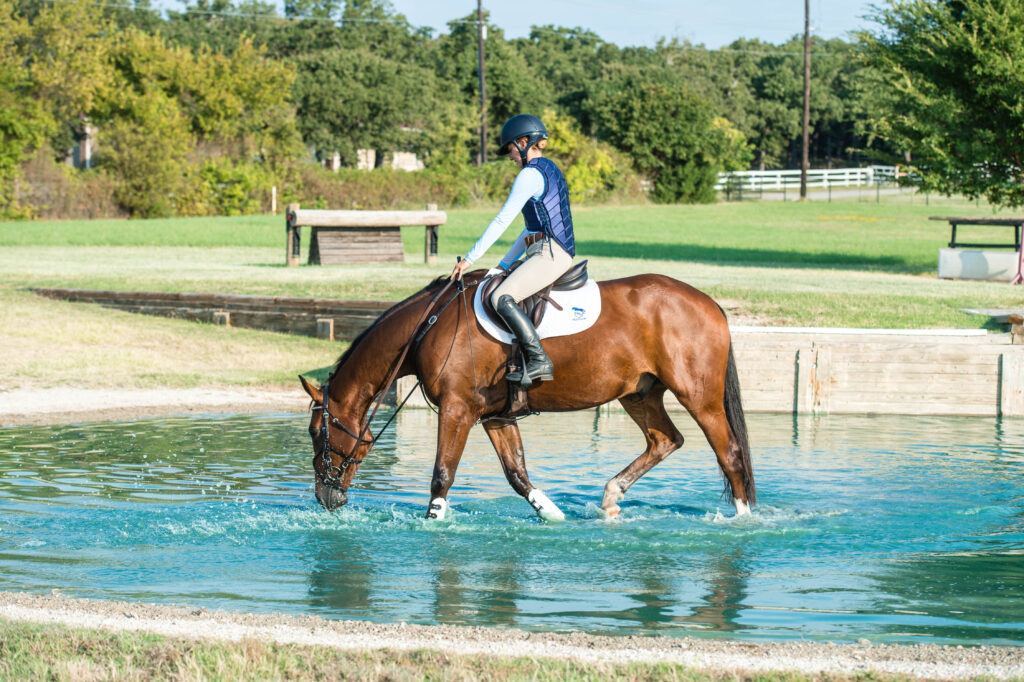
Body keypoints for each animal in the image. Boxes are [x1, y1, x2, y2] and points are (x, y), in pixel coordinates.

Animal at [298, 269, 755, 521]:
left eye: (316, 432)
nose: (324, 497)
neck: (427, 328)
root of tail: (709, 303)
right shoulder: (494, 416)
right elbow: (517, 474)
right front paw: (552, 514)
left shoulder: (457, 410)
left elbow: (442, 475)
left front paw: (432, 521)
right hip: (639, 394)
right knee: (664, 440)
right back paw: (610, 497)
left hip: (699, 397)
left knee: (729, 453)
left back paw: (743, 520)